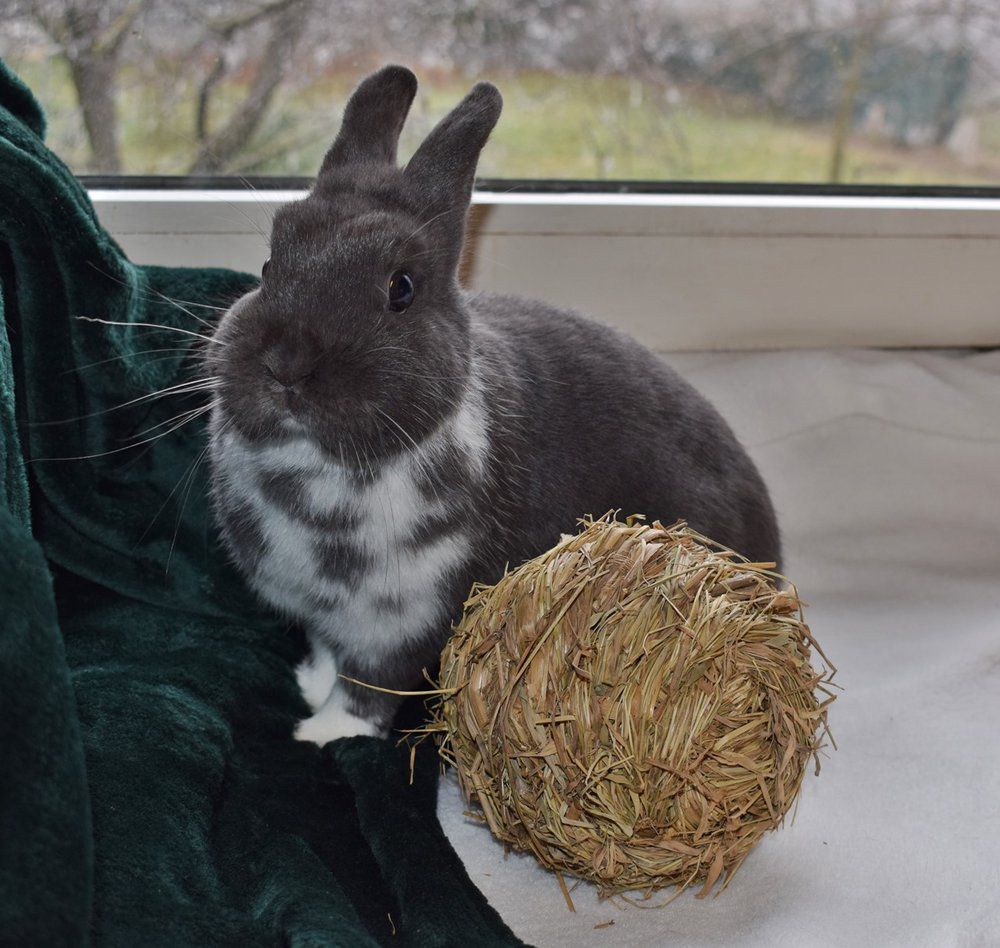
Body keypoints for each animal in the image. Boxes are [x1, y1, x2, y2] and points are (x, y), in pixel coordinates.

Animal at [205, 65, 780, 745]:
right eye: (271, 263)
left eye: (401, 289)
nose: (286, 365)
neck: (316, 475)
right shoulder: (320, 615)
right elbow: (326, 653)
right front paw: (309, 684)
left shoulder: (404, 622)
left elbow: (368, 690)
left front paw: (321, 733)